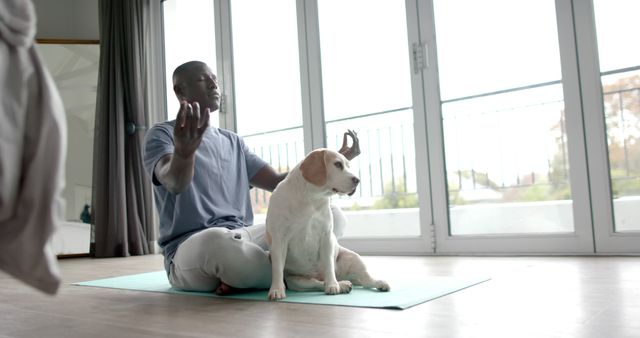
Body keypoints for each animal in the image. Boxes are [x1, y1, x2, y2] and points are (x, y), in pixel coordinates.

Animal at [264, 149, 390, 300]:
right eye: (338, 164)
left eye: (348, 166)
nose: (357, 180)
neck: (311, 198)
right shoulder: (279, 240)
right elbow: (277, 269)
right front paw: (277, 289)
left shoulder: (326, 237)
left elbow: (329, 265)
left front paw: (332, 285)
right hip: (297, 282)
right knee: (318, 283)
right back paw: (343, 285)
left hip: (353, 257)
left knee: (365, 280)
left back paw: (373, 283)